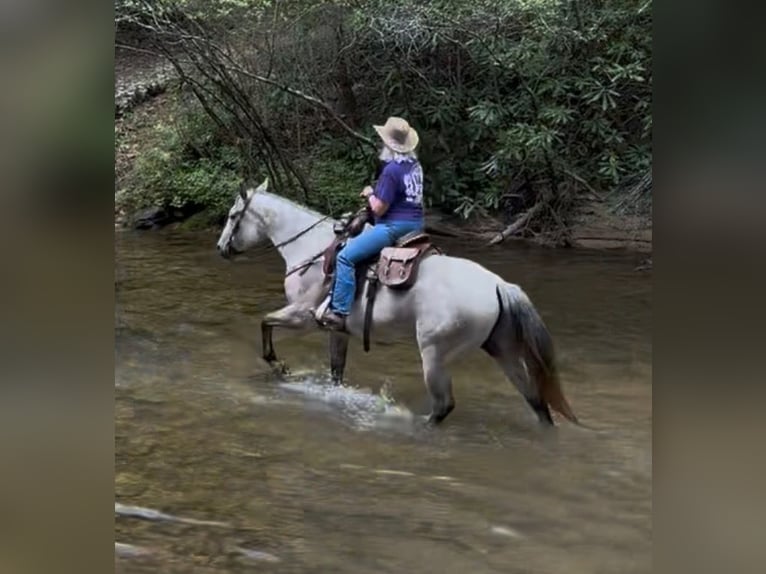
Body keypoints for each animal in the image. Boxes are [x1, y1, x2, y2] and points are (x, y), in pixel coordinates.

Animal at [216, 179, 579, 427]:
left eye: (233, 216)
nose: (221, 248)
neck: (311, 249)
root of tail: (498, 285)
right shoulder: (337, 329)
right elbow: (336, 373)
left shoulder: (302, 315)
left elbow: (265, 322)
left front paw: (281, 366)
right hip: (502, 349)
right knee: (535, 400)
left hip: (435, 352)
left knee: (444, 404)